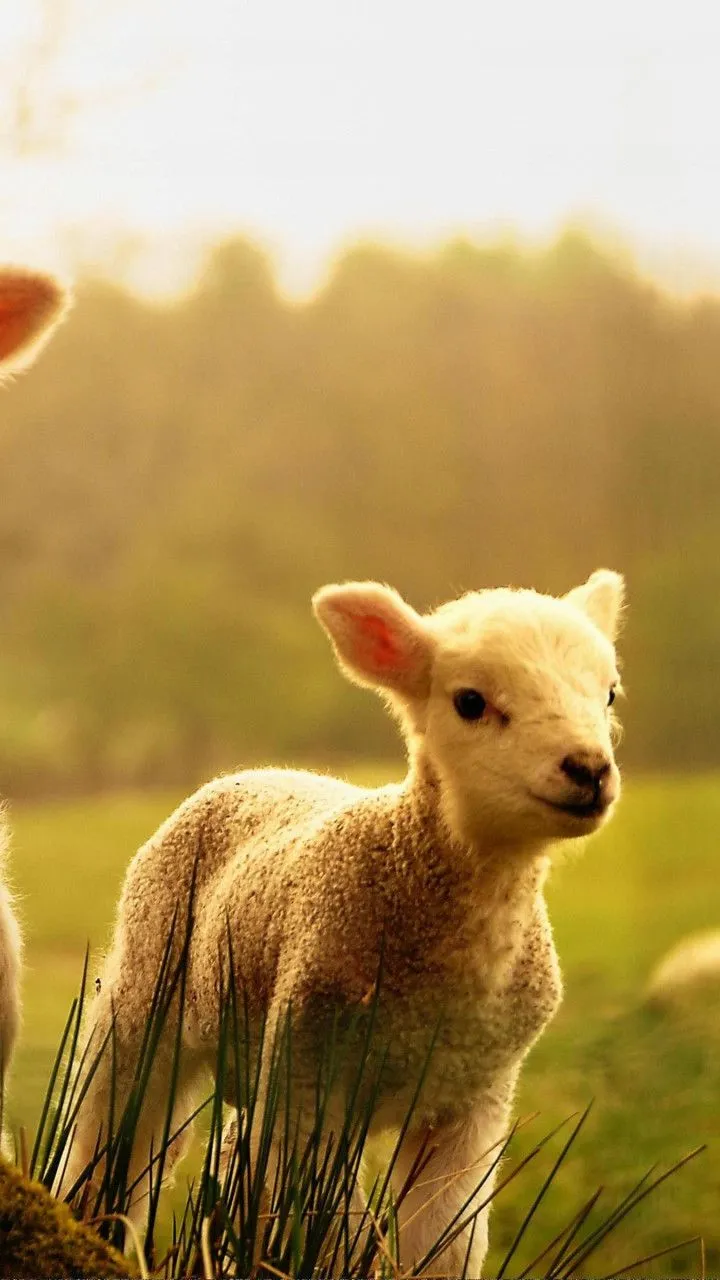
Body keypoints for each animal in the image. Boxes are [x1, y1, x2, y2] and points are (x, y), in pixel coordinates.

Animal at [61, 569, 625, 1275]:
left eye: (609, 693)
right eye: (470, 701)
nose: (589, 770)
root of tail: (250, 771)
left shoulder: (472, 1100)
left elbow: (445, 1242)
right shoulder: (309, 1078)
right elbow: (324, 1230)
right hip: (146, 987)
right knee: (111, 1134)